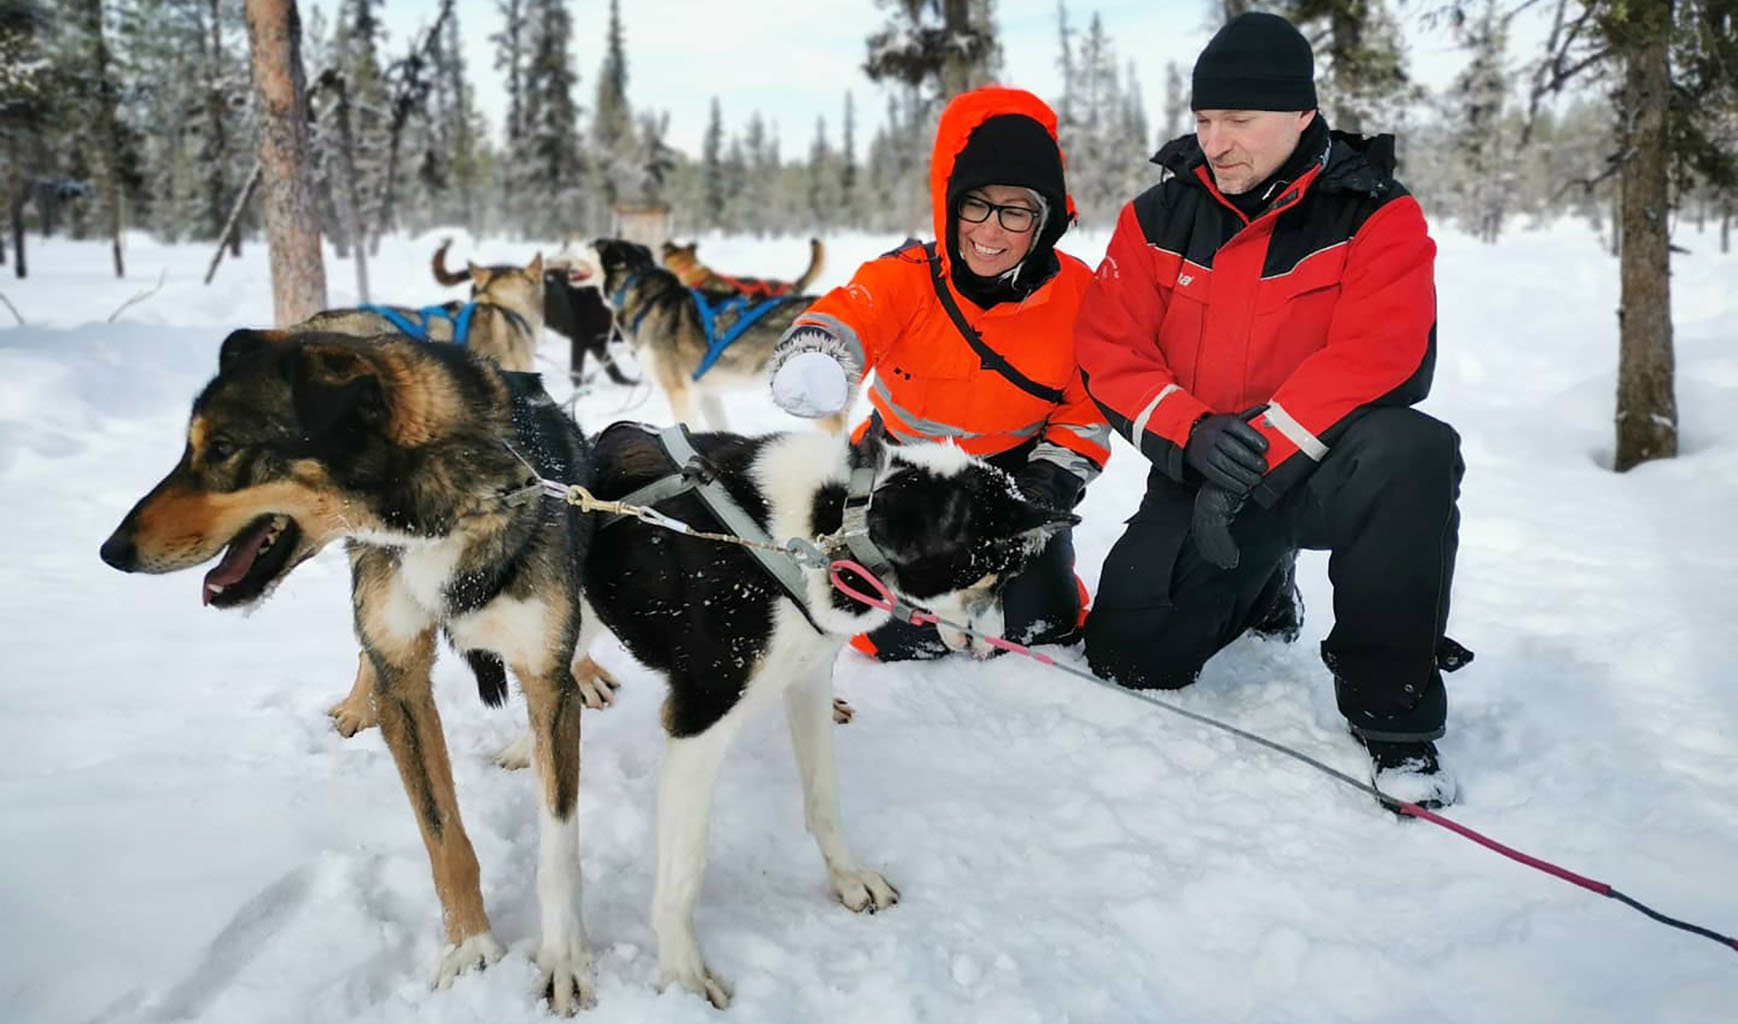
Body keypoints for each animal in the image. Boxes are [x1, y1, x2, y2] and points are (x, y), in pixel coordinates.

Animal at [101, 328, 608, 1015]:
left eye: (225, 448)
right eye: (190, 446)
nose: (111, 551)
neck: (436, 516)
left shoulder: (541, 664)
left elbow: (558, 842)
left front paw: (562, 961)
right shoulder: (404, 678)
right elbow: (442, 833)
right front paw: (470, 946)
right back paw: (357, 703)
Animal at [583, 422, 1070, 1008]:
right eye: (997, 577)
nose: (999, 646)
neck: (834, 526)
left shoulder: (808, 678)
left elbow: (824, 800)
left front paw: (848, 877)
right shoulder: (699, 723)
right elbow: (684, 867)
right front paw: (682, 973)